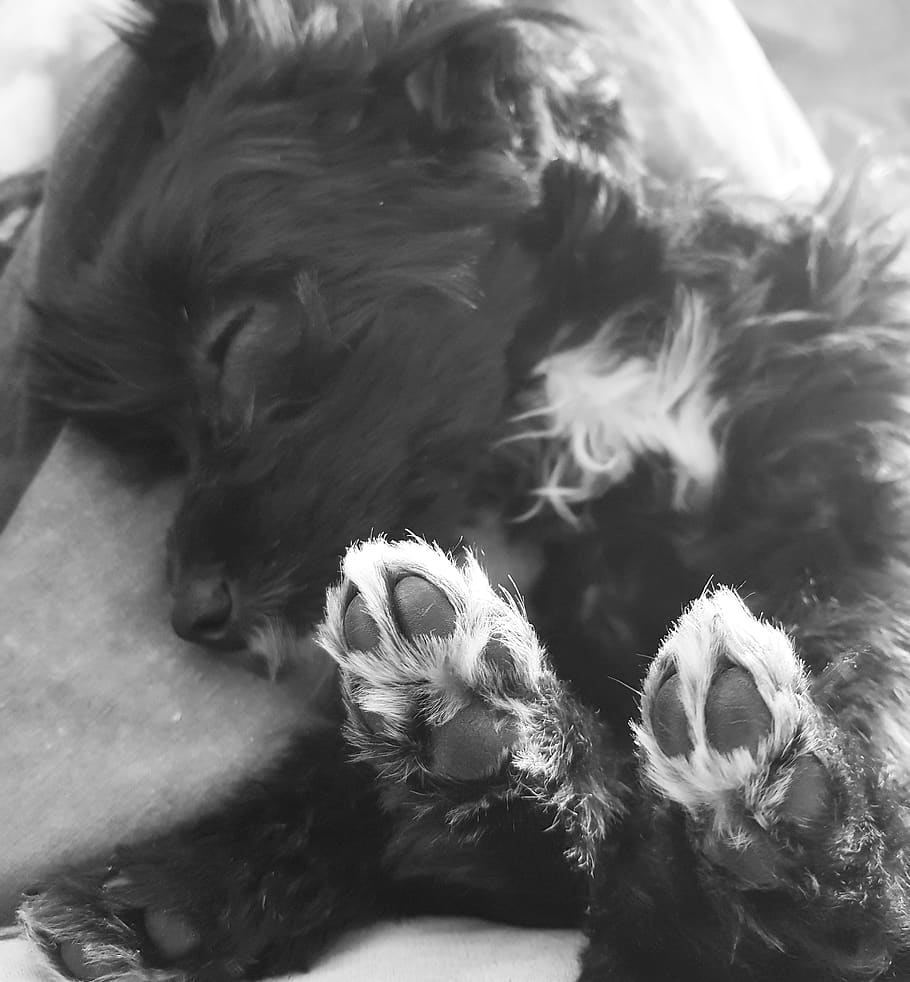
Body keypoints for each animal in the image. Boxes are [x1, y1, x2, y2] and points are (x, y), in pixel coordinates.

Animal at [19, 1, 910, 982]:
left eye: (234, 340)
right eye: (159, 441)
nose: (191, 613)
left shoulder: (848, 503)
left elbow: (859, 668)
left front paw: (764, 892)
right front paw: (198, 881)